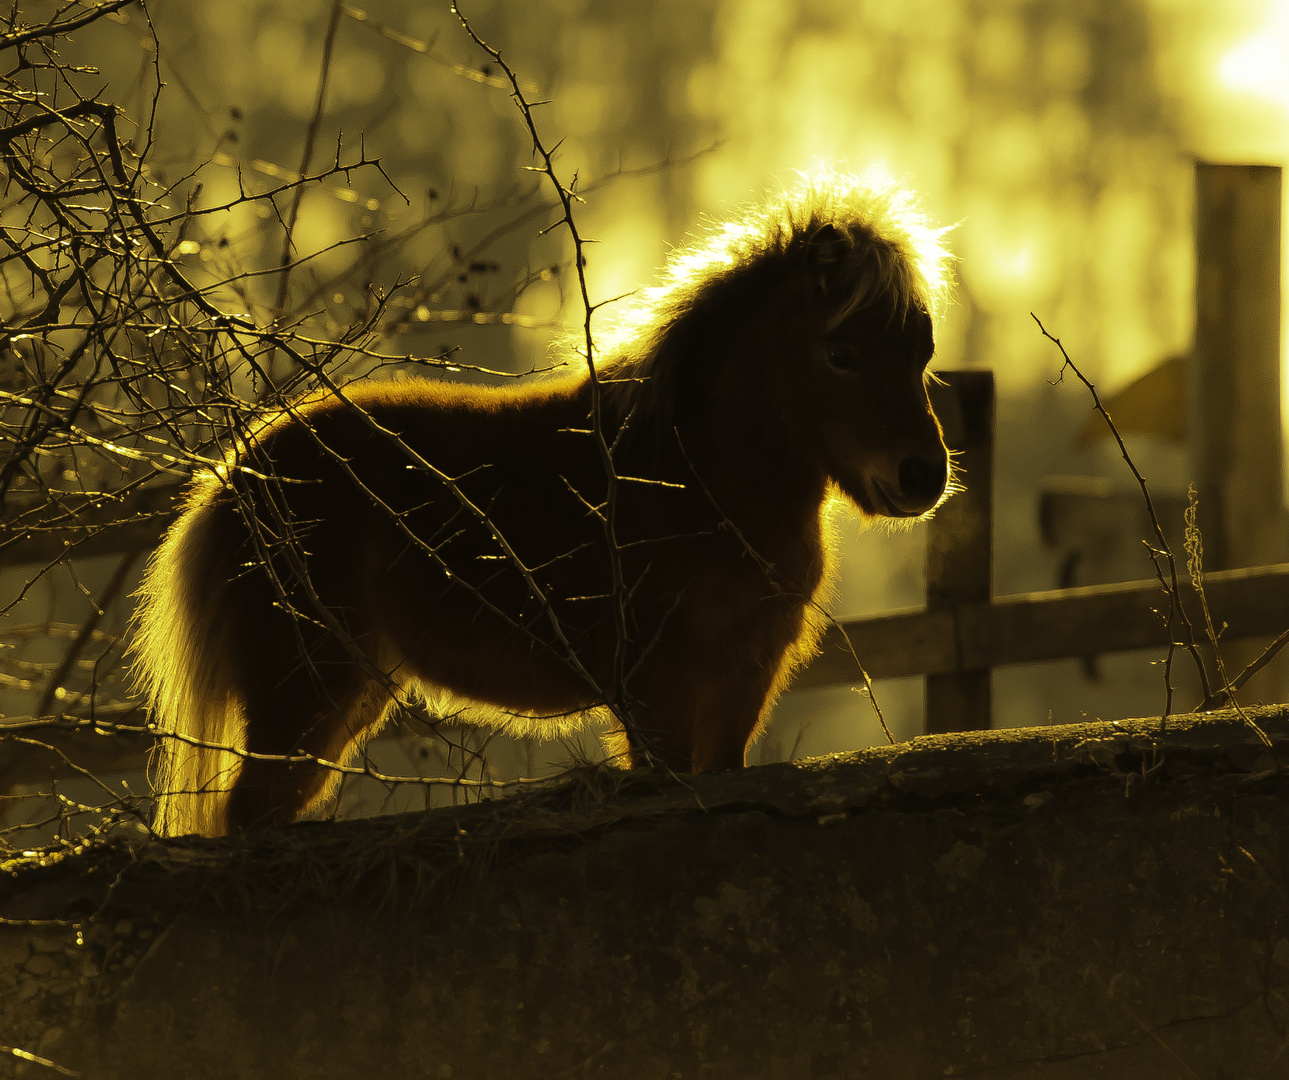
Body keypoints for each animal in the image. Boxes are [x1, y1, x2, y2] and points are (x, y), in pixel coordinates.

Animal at [130, 168, 959, 835]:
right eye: (840, 353)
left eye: (921, 351)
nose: (921, 476)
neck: (691, 484)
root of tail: (236, 475)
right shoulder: (655, 694)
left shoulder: (741, 683)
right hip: (303, 698)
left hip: (345, 698)